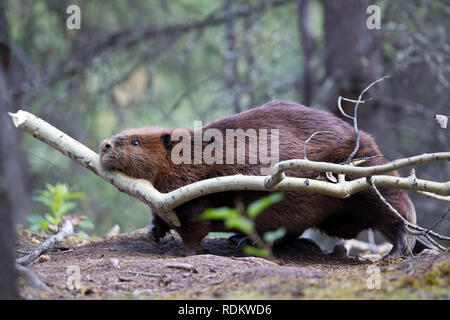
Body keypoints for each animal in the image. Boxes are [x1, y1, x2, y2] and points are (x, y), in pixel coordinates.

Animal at [99, 101, 426, 256]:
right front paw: (154, 232)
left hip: (359, 176)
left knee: (396, 207)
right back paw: (242, 238)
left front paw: (184, 251)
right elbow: (162, 214)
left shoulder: (201, 186)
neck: (192, 154)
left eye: (136, 142)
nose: (104, 145)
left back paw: (399, 249)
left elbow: (195, 223)